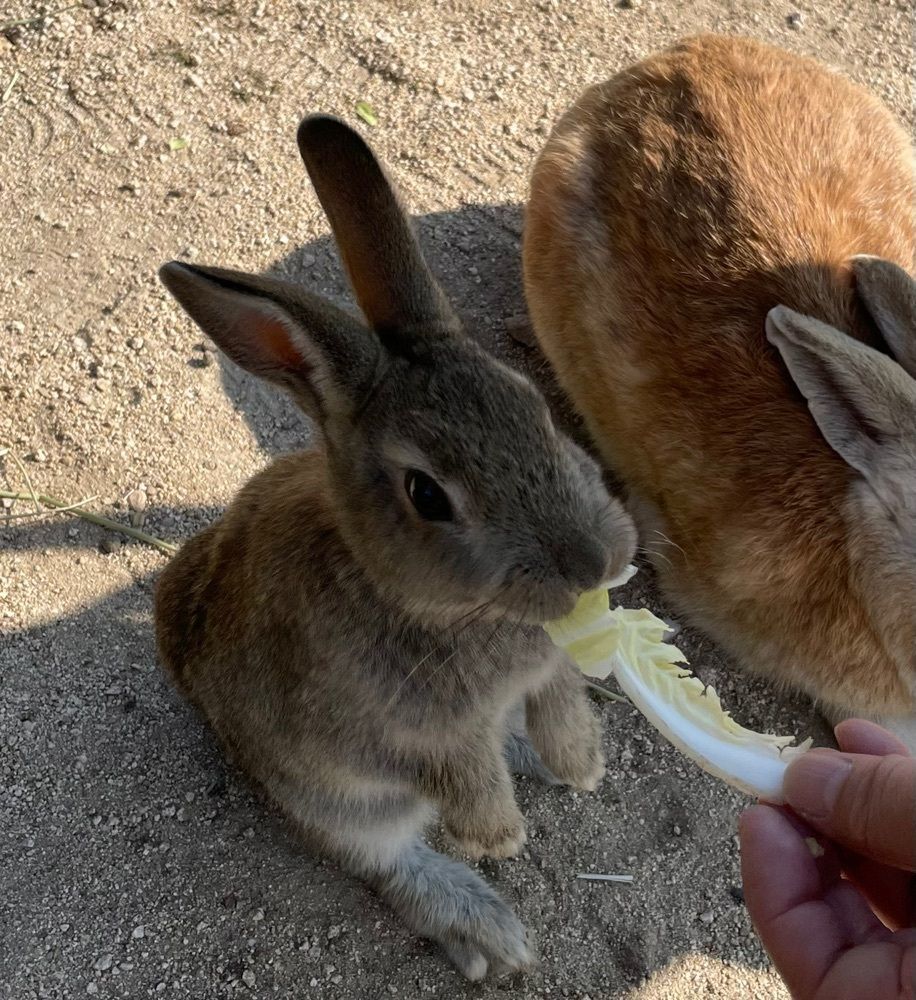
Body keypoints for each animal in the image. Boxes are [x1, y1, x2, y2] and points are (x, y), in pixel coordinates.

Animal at [156, 115, 636, 976]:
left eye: (533, 408)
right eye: (426, 495)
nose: (594, 565)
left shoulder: (544, 673)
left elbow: (560, 703)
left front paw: (581, 767)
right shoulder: (419, 738)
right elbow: (461, 778)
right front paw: (500, 836)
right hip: (329, 799)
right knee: (384, 859)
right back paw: (486, 934)